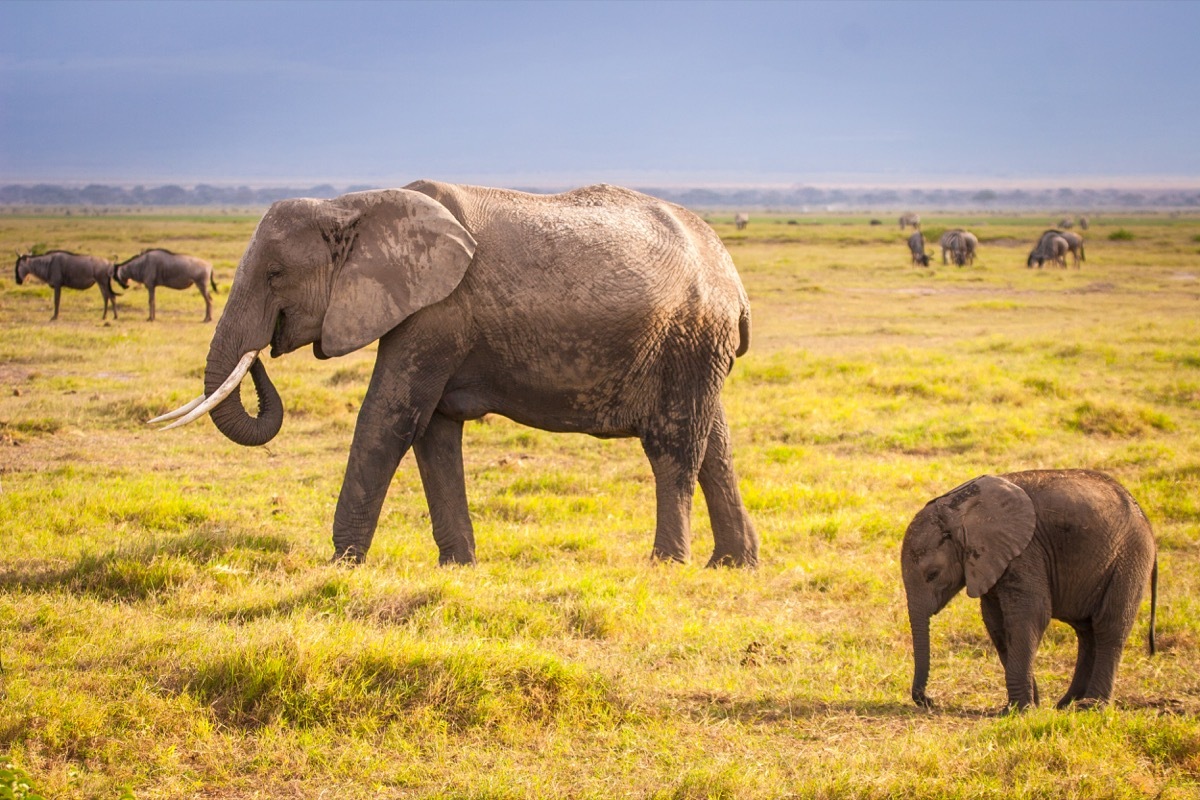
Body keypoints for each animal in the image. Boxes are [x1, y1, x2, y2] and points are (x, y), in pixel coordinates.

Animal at [151, 181, 758, 568]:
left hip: (689, 336)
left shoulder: (436, 312)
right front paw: (459, 567)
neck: (352, 204)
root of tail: (733, 274)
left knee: (674, 445)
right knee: (715, 443)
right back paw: (731, 565)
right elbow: (434, 430)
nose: (262, 353)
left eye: (276, 274)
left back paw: (667, 565)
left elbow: (390, 418)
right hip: (697, 349)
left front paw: (341, 564)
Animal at [902, 470, 1157, 711]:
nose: (929, 700)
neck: (957, 509)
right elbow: (995, 623)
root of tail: (1146, 520)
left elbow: (1030, 615)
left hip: (1129, 558)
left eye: (933, 574)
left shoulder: (1025, 551)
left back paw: (1090, 706)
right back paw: (1066, 705)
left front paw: (1018, 710)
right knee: (1087, 632)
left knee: (1109, 627)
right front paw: (1028, 704)